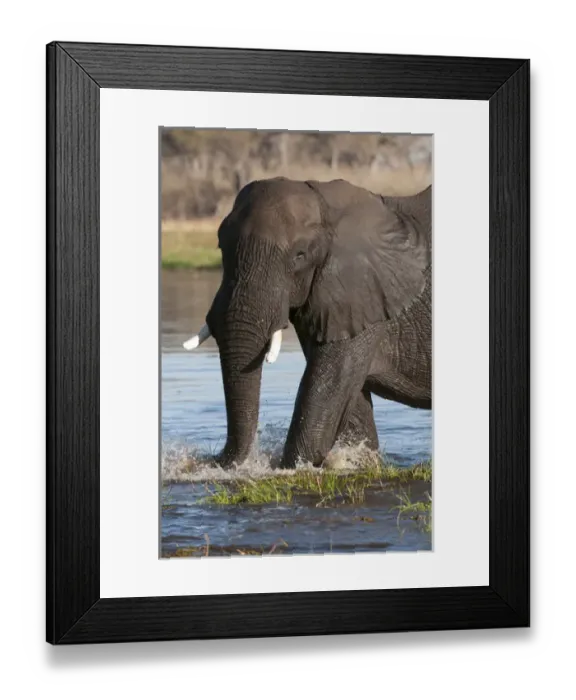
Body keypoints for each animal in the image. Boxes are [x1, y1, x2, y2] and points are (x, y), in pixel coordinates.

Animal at [184, 177, 432, 468]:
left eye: (299, 255)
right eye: (221, 246)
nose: (211, 459)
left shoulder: (363, 296)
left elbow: (326, 392)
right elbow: (351, 405)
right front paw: (354, 461)